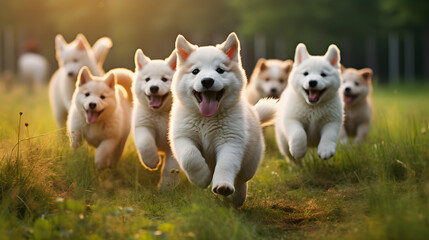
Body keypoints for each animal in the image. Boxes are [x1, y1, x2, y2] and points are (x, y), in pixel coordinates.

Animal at [130, 47, 178, 188]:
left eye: (164, 79)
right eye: (147, 79)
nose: (154, 88)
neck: (160, 113)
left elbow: (170, 167)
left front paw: (167, 187)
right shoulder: (143, 125)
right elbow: (145, 143)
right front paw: (151, 162)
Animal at [169, 32, 276, 207]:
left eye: (220, 70)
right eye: (195, 71)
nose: (207, 81)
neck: (206, 119)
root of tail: (255, 114)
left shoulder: (230, 141)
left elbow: (226, 164)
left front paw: (223, 186)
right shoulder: (182, 137)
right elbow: (190, 157)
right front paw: (202, 178)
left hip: (250, 163)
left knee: (241, 180)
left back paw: (237, 199)